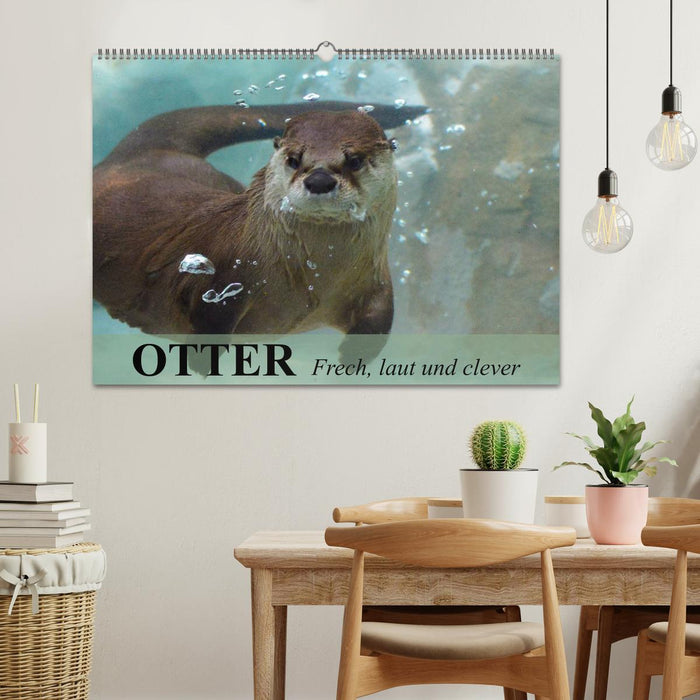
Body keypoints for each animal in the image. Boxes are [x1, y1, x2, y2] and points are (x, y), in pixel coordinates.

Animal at [93, 102, 424, 360]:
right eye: (294, 159)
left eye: (354, 160)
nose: (318, 180)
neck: (316, 278)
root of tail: (137, 155)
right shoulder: (225, 277)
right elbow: (209, 319)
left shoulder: (375, 279)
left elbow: (380, 322)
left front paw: (352, 358)